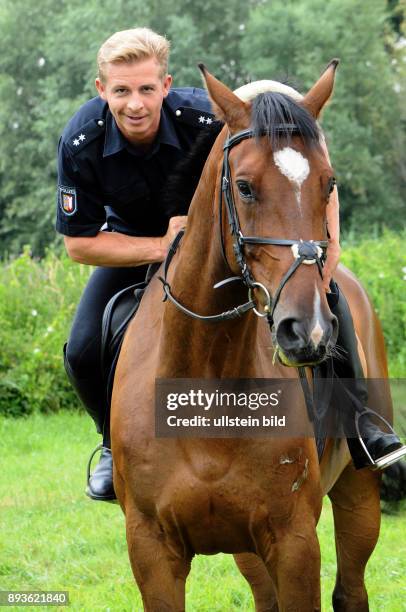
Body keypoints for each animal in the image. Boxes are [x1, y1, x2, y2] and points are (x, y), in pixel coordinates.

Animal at [110, 62, 386, 612]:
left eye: (328, 184)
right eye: (245, 187)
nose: (308, 329)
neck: (206, 381)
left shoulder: (294, 541)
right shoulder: (152, 551)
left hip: (358, 494)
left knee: (351, 590)